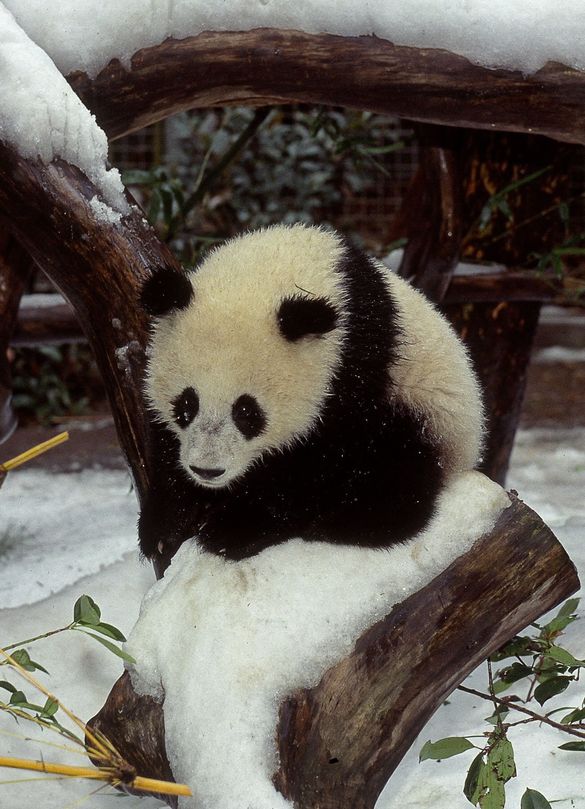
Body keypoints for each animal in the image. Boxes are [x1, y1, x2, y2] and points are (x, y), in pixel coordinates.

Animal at [138, 224, 484, 561]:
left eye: (247, 412)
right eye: (186, 404)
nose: (207, 470)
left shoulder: (355, 367)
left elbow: (320, 463)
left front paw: (234, 529)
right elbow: (167, 447)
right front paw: (164, 527)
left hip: (428, 413)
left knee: (397, 471)